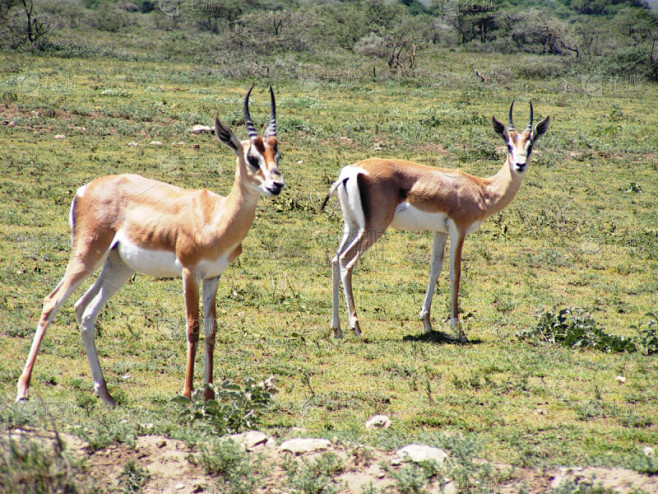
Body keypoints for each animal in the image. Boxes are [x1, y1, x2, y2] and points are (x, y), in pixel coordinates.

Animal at [16, 87, 284, 406]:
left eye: (277, 154)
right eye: (252, 157)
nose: (276, 185)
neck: (215, 218)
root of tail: (85, 189)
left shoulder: (214, 276)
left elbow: (211, 330)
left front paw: (208, 396)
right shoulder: (189, 272)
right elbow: (192, 328)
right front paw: (186, 394)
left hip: (117, 267)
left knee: (85, 310)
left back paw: (105, 393)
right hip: (87, 255)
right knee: (52, 301)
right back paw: (23, 390)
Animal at [321, 102, 550, 341]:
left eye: (530, 145)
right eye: (508, 144)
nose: (520, 165)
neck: (483, 190)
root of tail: (352, 171)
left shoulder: (439, 232)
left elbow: (435, 268)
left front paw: (427, 322)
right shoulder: (459, 230)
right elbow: (455, 271)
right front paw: (459, 329)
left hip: (352, 226)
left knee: (335, 259)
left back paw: (336, 329)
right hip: (374, 227)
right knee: (347, 260)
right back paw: (355, 326)